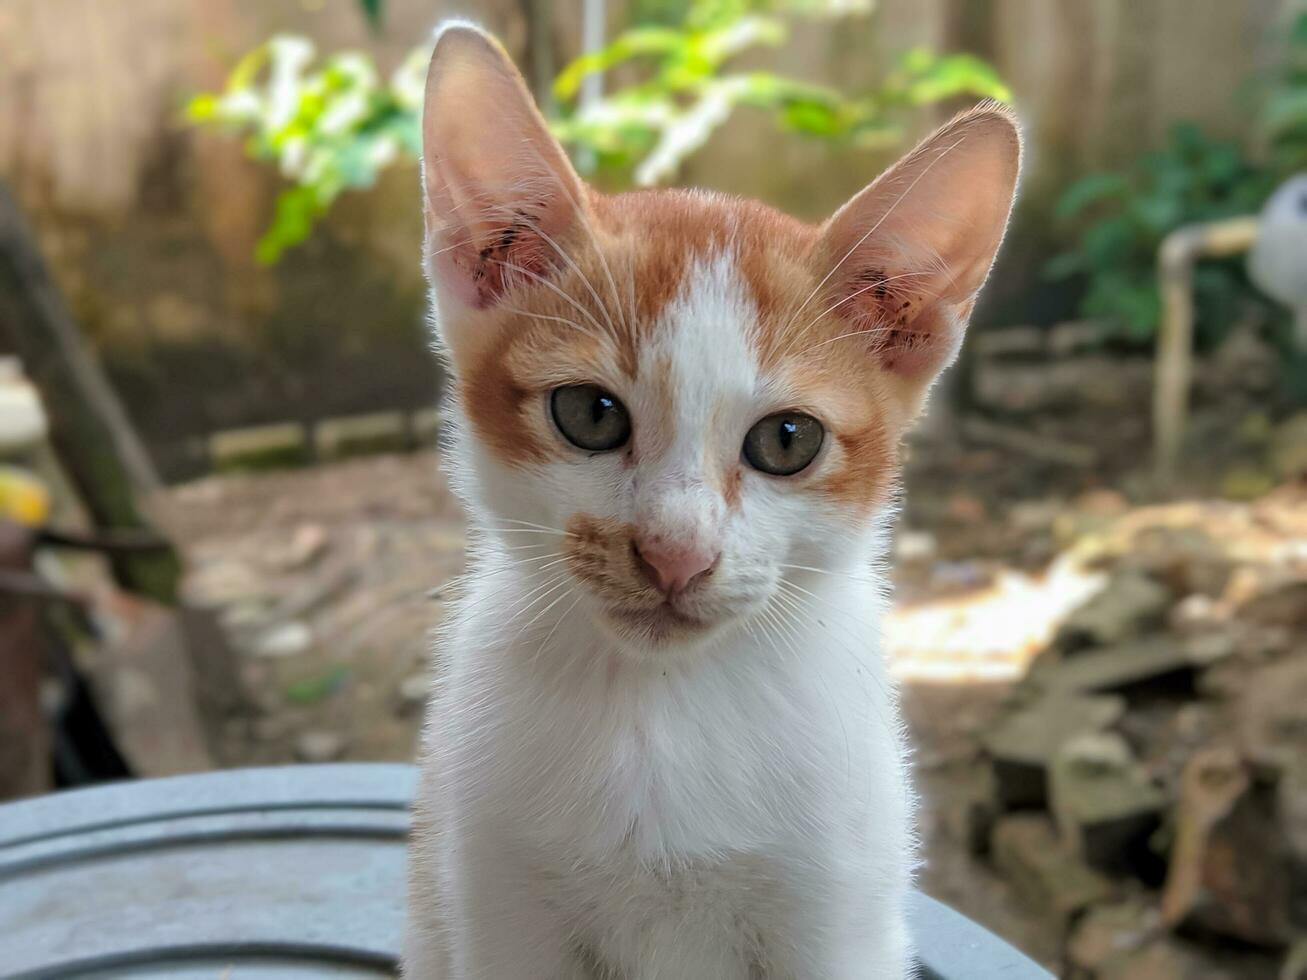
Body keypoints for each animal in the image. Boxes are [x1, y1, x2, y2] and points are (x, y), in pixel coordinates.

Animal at [402, 23, 1014, 980]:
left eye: (787, 440)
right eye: (588, 414)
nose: (675, 553)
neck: (666, 700)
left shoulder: (838, 911)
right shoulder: (496, 897)